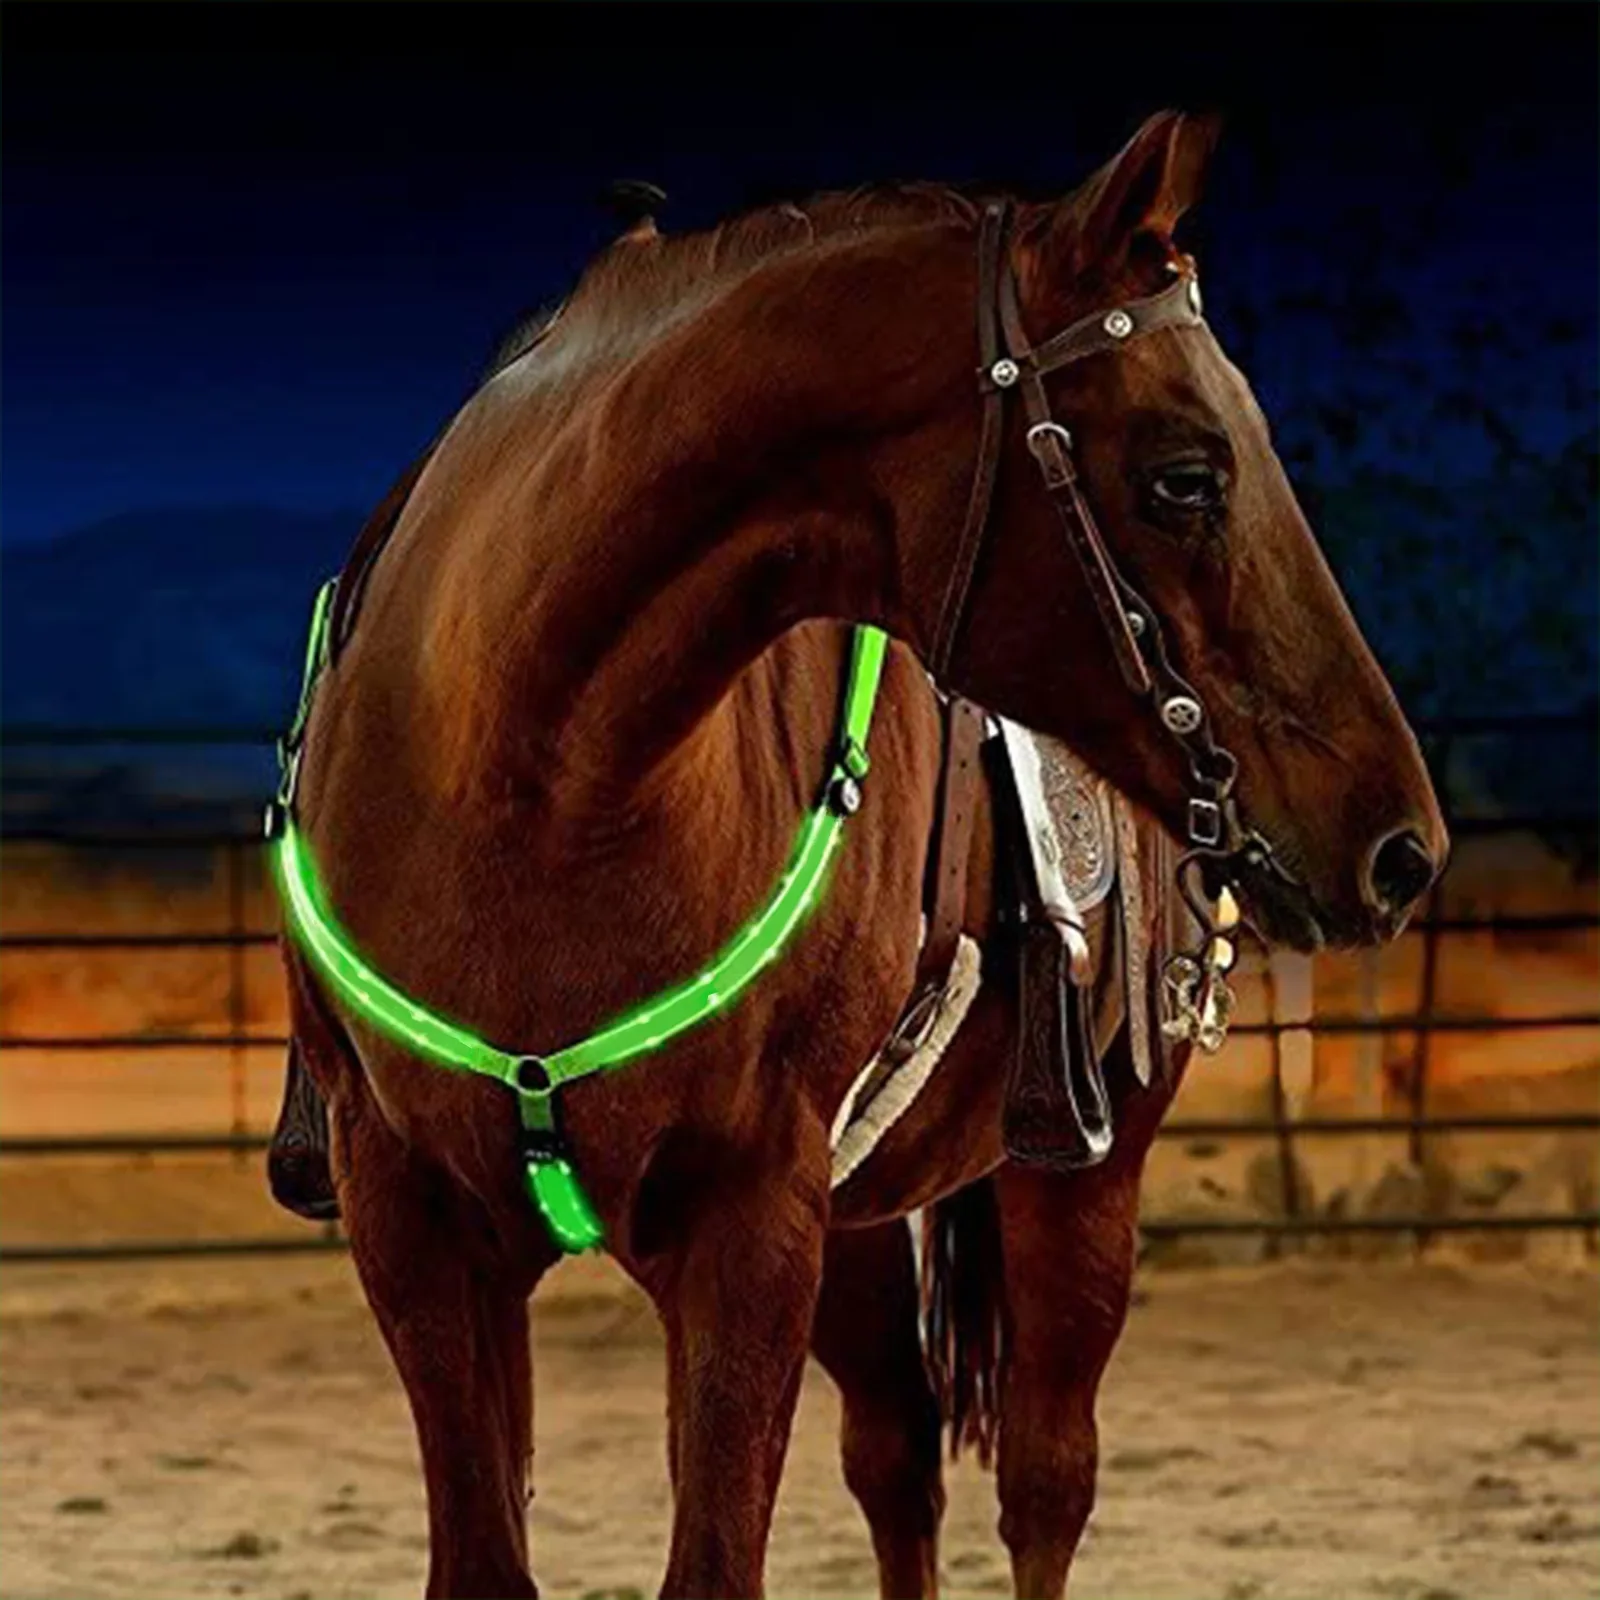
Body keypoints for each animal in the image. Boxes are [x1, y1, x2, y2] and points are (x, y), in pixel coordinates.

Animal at [273, 110, 1447, 1597]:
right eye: (1187, 476)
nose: (1401, 846)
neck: (530, 785)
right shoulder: (417, 1224)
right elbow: (490, 1556)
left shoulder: (749, 1224)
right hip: (858, 1227)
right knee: (897, 1460)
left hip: (1078, 1176)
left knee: (1045, 1480)